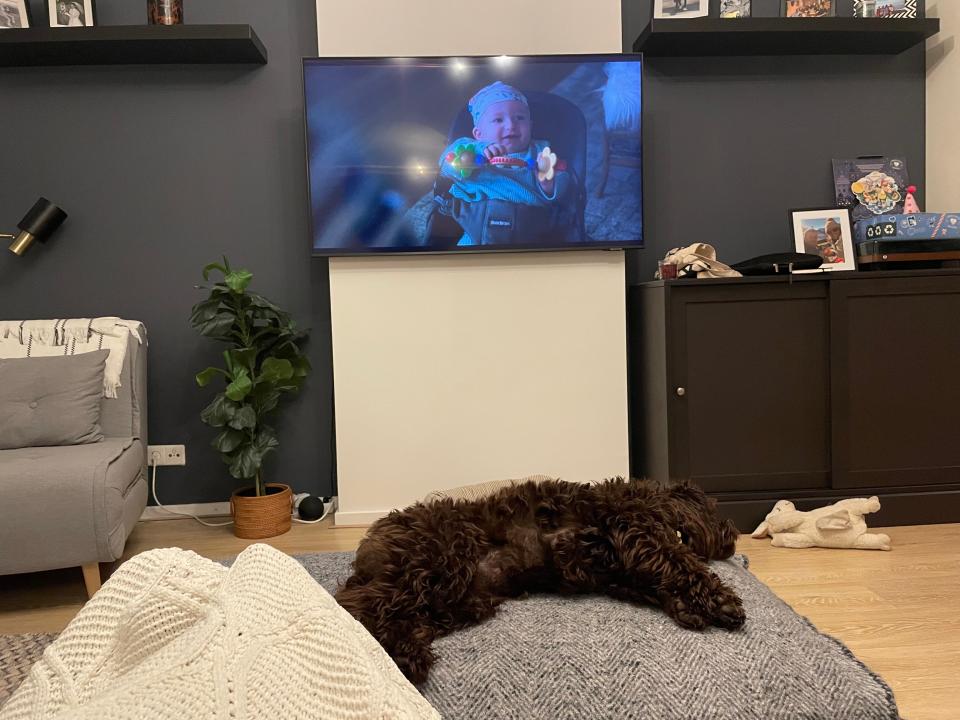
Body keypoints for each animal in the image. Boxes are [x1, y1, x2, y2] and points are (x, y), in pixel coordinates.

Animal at [334, 478, 748, 688]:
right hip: (438, 562)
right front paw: (722, 601)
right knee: (358, 606)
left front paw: (684, 606)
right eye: (715, 510)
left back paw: (408, 652)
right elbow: (680, 561)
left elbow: (657, 580)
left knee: (392, 612)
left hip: (461, 599)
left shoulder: (619, 570)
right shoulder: (635, 527)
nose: (733, 538)